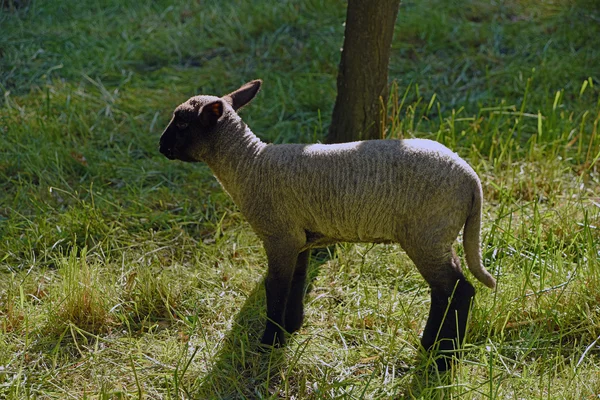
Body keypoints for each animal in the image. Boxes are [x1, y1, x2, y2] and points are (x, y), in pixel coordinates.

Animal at [158, 79, 496, 370]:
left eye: (182, 123)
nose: (160, 147)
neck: (250, 165)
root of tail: (470, 177)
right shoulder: (299, 239)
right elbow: (296, 281)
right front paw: (291, 328)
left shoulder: (279, 236)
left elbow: (275, 286)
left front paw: (269, 343)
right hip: (438, 236)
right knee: (447, 291)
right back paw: (432, 347)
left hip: (426, 234)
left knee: (457, 290)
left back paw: (443, 358)